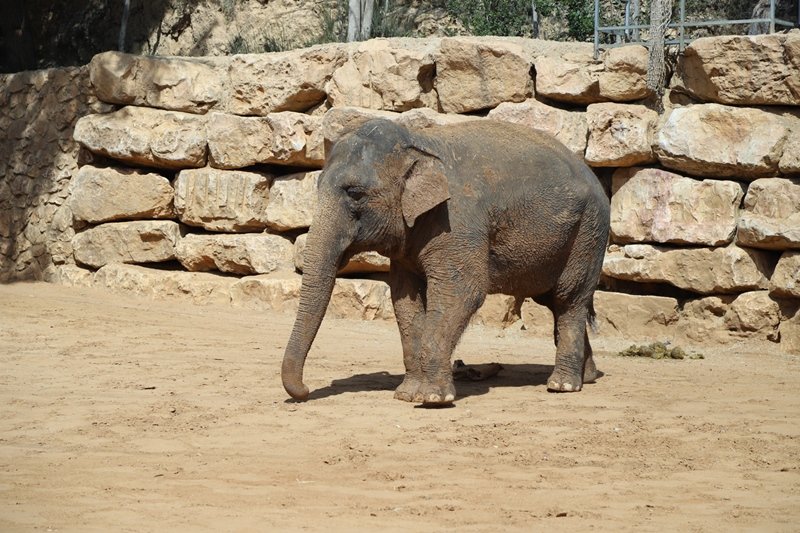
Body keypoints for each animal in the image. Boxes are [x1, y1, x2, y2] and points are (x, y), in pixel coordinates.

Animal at [282, 118, 612, 406]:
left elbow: (462, 292)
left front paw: (432, 399)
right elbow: (405, 299)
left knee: (568, 299)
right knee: (556, 301)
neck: (419, 141)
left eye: (355, 194)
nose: (305, 391)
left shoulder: (458, 221)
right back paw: (588, 376)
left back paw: (562, 385)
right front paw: (407, 394)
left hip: (589, 232)